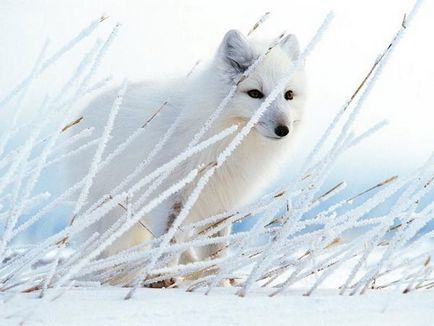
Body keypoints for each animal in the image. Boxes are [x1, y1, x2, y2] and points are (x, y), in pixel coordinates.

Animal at [66, 30, 306, 268]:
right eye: (255, 93)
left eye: (289, 95)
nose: (283, 129)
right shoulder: (169, 200)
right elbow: (166, 250)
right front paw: (162, 275)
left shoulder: (219, 205)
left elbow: (215, 251)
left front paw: (210, 274)